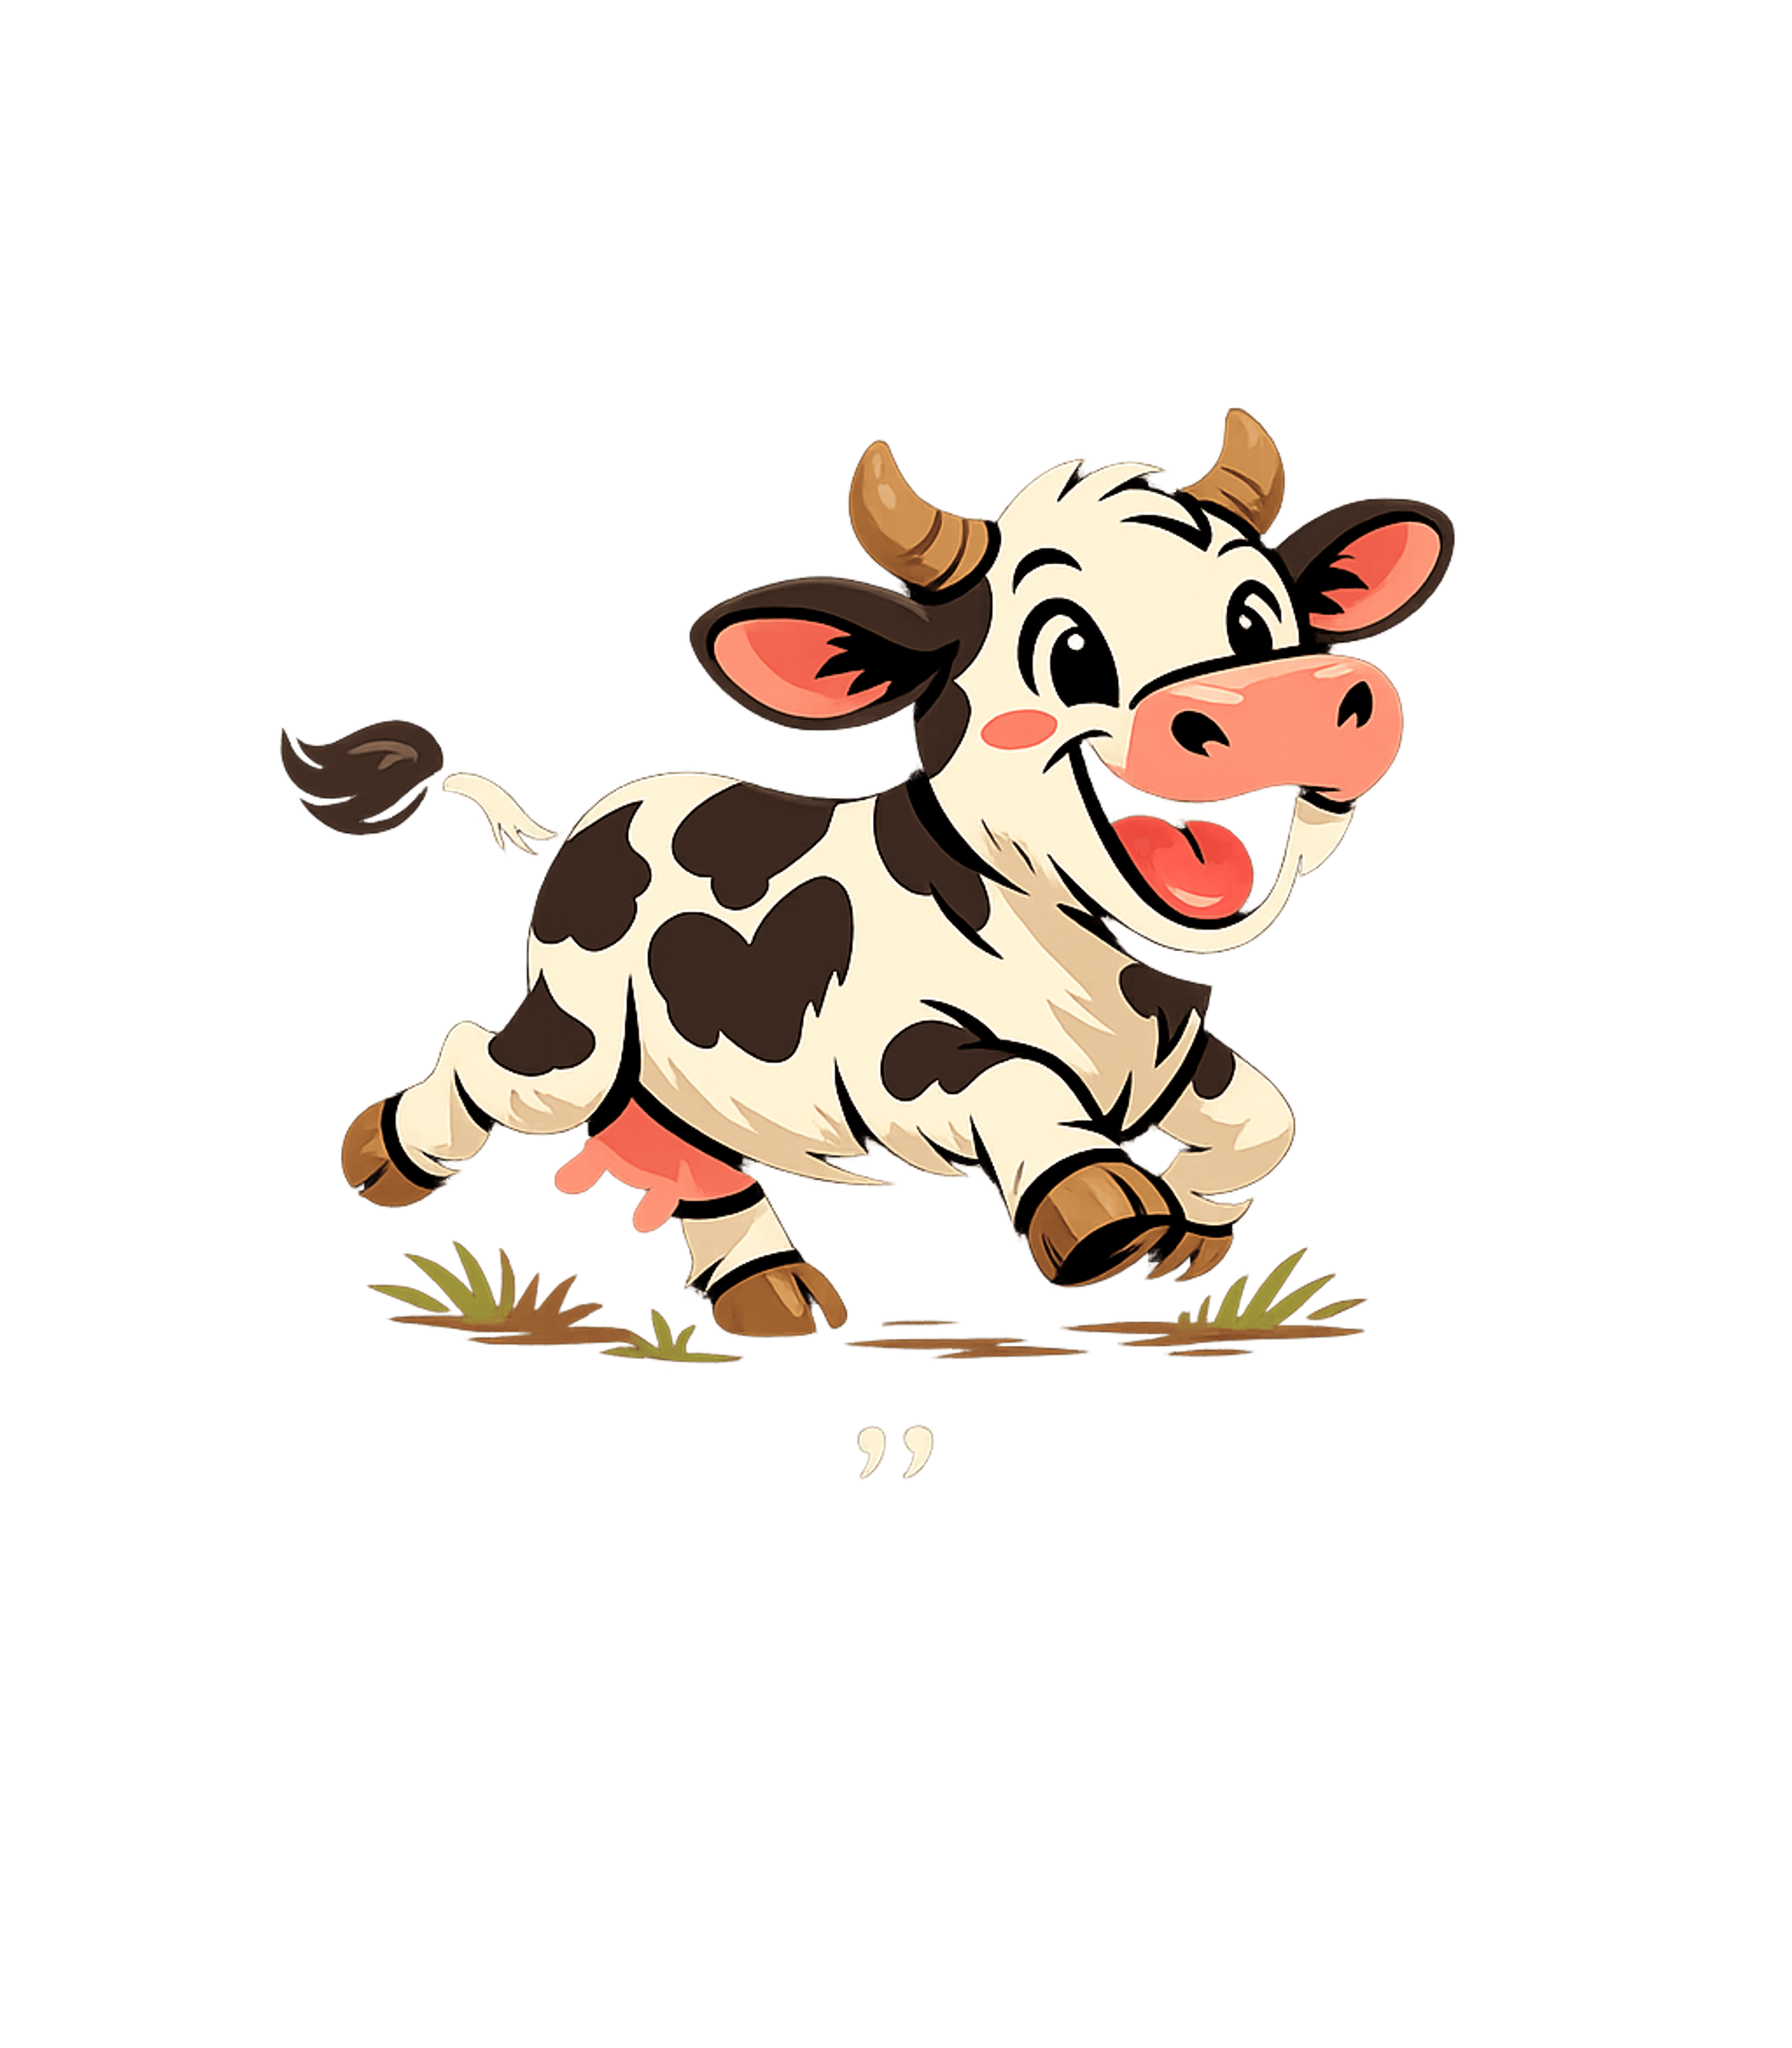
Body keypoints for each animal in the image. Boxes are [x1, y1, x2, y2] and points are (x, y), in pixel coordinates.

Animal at [281, 411, 1453, 1339]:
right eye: (1071, 650)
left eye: (1257, 619)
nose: (1297, 702)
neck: (1069, 957)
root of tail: (595, 819)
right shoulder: (895, 1064)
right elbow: (1012, 1080)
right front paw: (1104, 1206)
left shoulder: (1170, 1045)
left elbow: (1268, 1116)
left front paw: (1194, 1231)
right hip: (575, 1023)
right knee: (489, 1064)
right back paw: (384, 1157)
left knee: (687, 1142)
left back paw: (771, 1293)